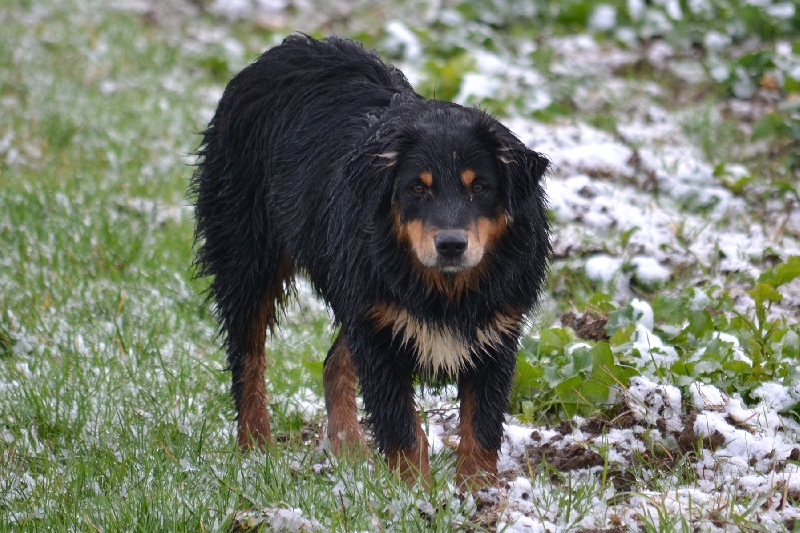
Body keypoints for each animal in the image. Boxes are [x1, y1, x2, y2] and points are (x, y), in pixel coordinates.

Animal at [192, 35, 552, 488]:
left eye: (480, 187)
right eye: (417, 187)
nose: (451, 245)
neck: (445, 288)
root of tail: (277, 53)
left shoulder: (495, 332)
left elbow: (481, 427)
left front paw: (479, 493)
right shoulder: (379, 333)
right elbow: (401, 426)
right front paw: (416, 492)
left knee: (332, 362)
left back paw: (348, 451)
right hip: (249, 258)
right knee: (248, 357)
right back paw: (256, 447)